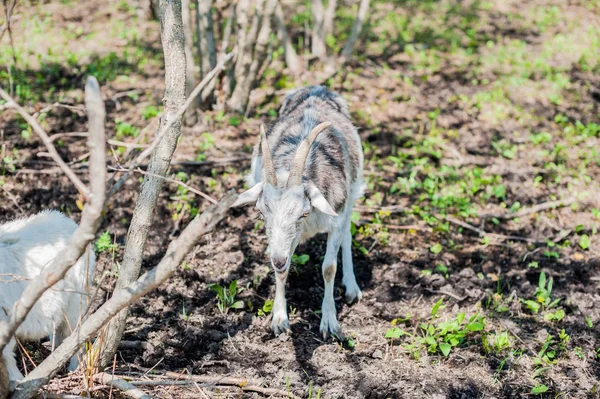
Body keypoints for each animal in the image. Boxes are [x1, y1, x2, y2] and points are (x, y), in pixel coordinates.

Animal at [233, 86, 366, 340]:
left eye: (302, 213)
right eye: (261, 214)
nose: (277, 260)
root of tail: (317, 88)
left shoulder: (335, 218)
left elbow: (329, 268)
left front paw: (330, 323)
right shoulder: (286, 241)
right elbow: (283, 271)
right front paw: (279, 319)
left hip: (353, 192)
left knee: (347, 235)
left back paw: (352, 287)